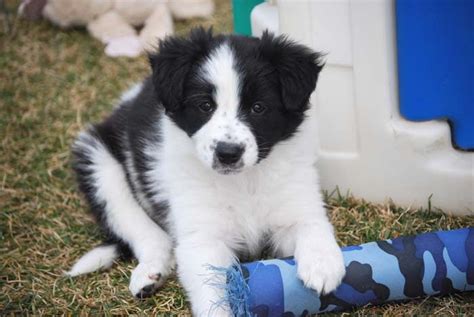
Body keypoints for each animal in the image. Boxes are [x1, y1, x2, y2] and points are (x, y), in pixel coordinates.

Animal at [67, 29, 344, 314]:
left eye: (258, 107)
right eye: (205, 106)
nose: (228, 153)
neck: (243, 182)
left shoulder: (295, 199)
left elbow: (311, 225)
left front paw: (323, 265)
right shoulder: (202, 239)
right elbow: (211, 294)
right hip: (98, 160)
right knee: (140, 228)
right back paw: (150, 272)